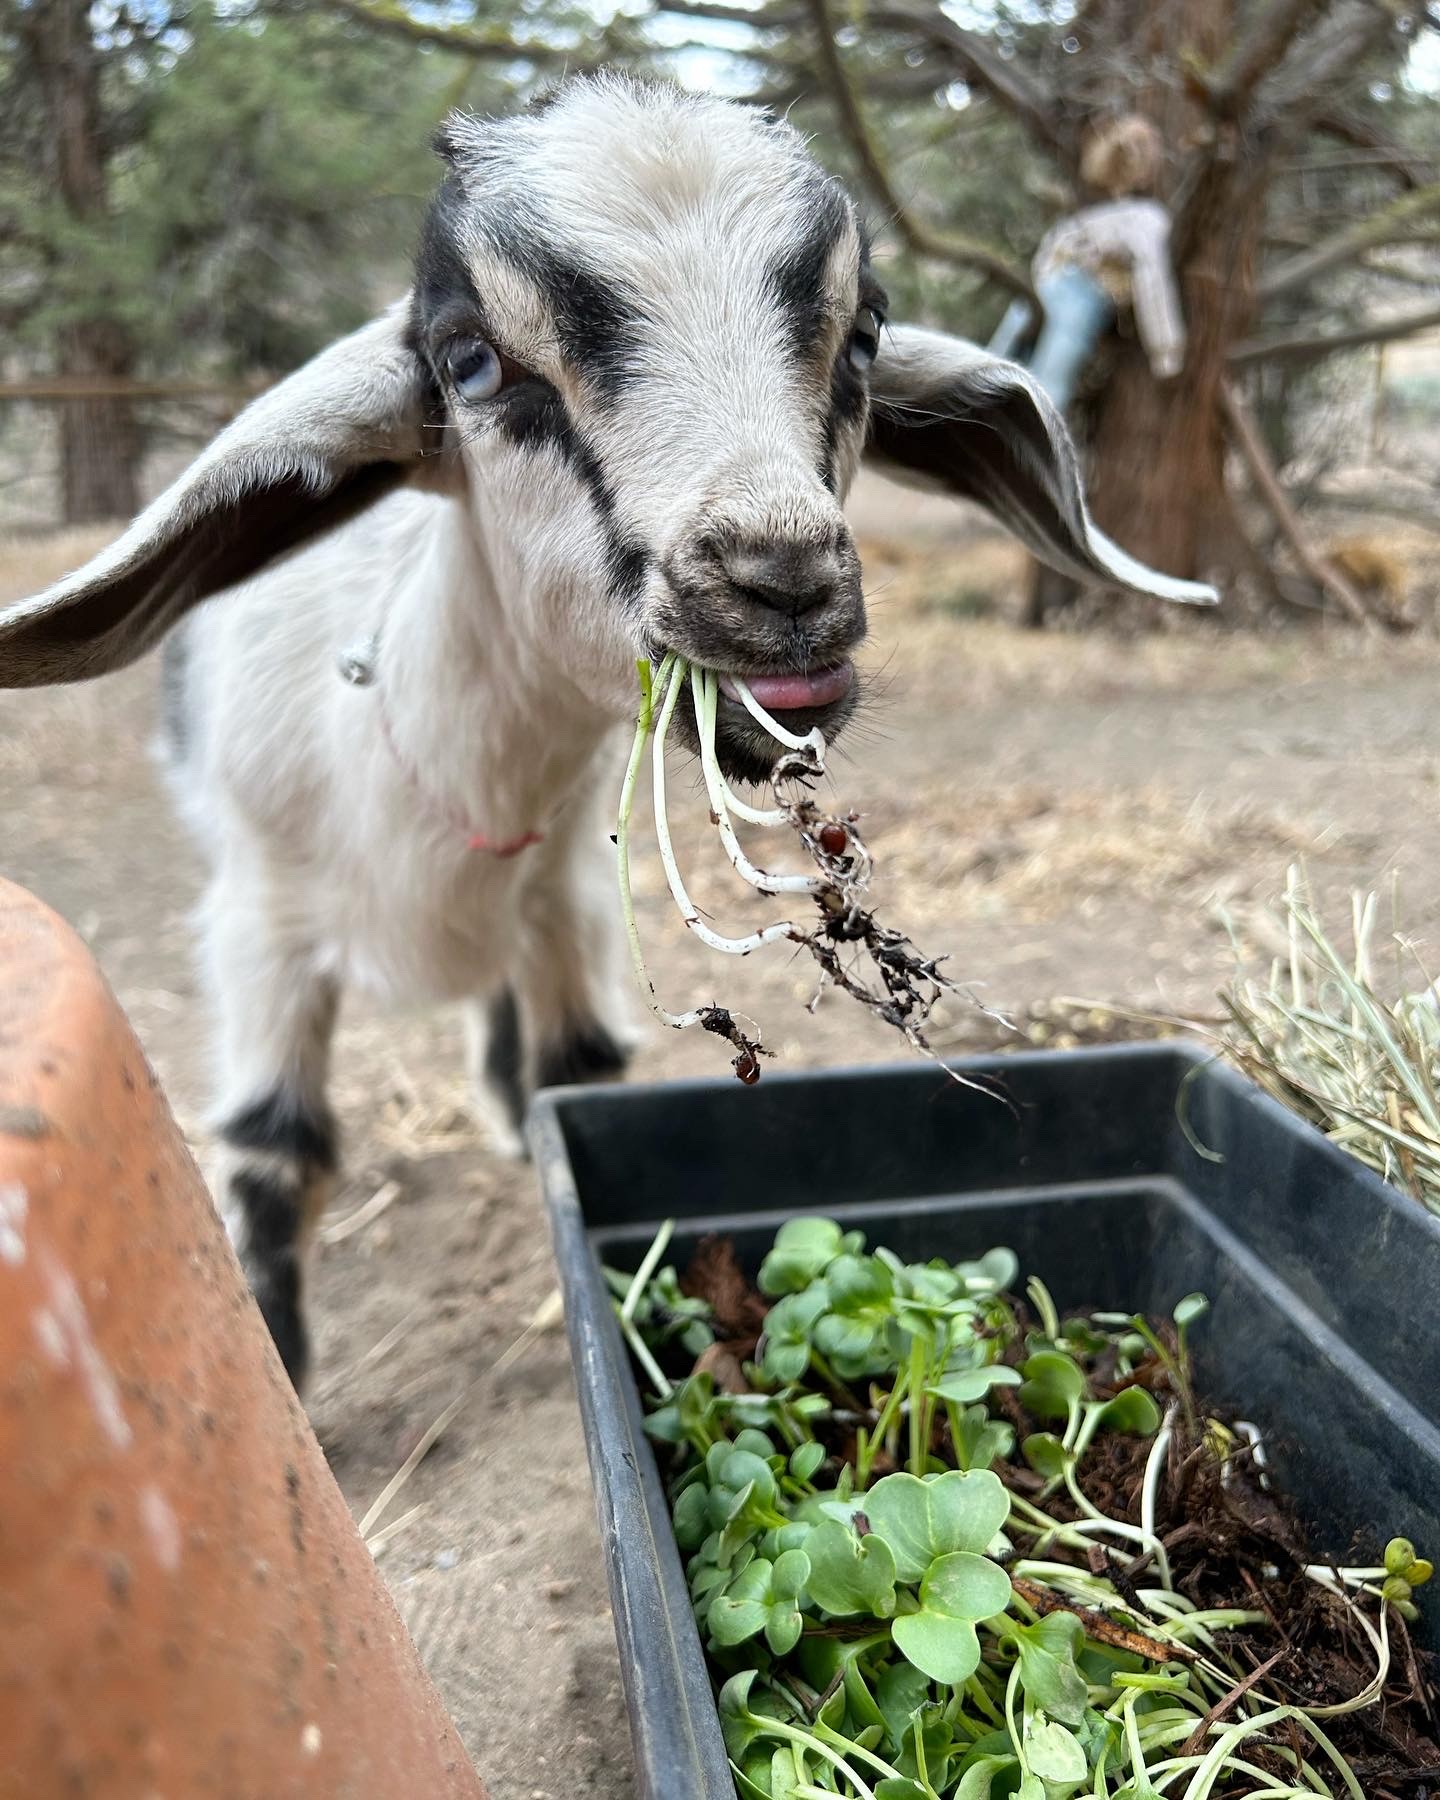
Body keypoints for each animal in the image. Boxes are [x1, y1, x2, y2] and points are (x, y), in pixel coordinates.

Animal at [0, 74, 1214, 1388]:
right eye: (471, 360)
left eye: (865, 335)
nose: (784, 583)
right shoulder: (259, 925)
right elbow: (280, 1155)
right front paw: (281, 1366)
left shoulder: (566, 901)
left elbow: (569, 1085)